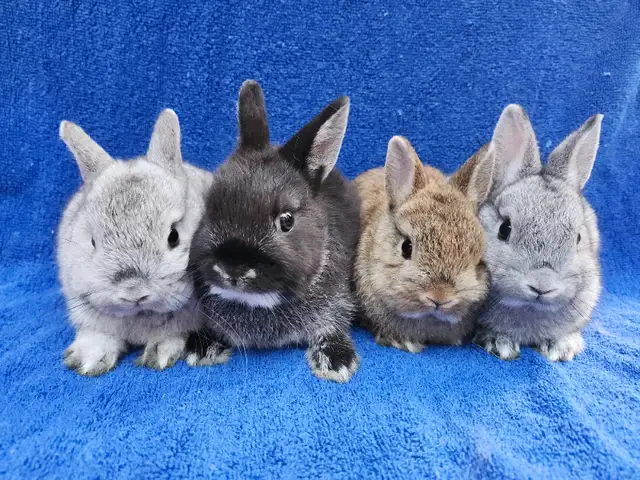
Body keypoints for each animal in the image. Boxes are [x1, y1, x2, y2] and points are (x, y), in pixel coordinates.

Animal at [57, 109, 212, 376]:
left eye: (174, 236)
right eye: (93, 241)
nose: (133, 292)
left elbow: (171, 335)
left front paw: (159, 355)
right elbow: (98, 335)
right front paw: (87, 361)